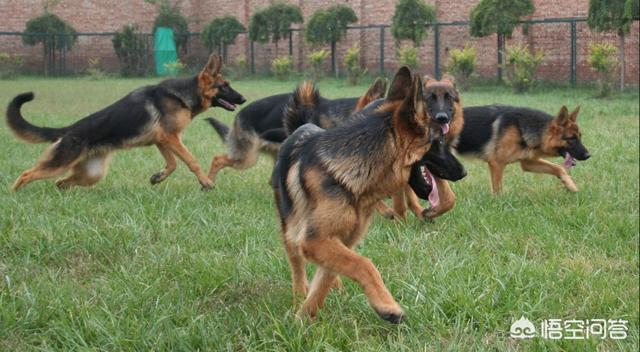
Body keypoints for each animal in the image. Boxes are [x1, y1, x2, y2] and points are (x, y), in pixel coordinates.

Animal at [6, 54, 245, 192]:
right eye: (224, 86)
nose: (244, 99)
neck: (184, 95)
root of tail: (68, 131)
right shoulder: (170, 137)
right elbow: (191, 161)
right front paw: (206, 182)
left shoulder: (162, 140)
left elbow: (172, 164)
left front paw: (158, 177)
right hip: (59, 164)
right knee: (27, 174)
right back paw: (14, 195)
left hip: (91, 174)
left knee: (61, 183)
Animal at [272, 67, 452, 324]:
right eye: (438, 143)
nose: (463, 172)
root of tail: (303, 126)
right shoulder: (314, 240)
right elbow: (364, 264)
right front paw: (388, 306)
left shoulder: (342, 239)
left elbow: (329, 276)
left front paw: (305, 317)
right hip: (291, 228)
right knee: (296, 262)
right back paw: (298, 294)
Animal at [456, 104, 592, 194]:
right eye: (571, 139)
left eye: (580, 137)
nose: (588, 155)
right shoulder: (497, 164)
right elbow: (498, 189)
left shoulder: (528, 163)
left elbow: (558, 168)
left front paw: (570, 185)